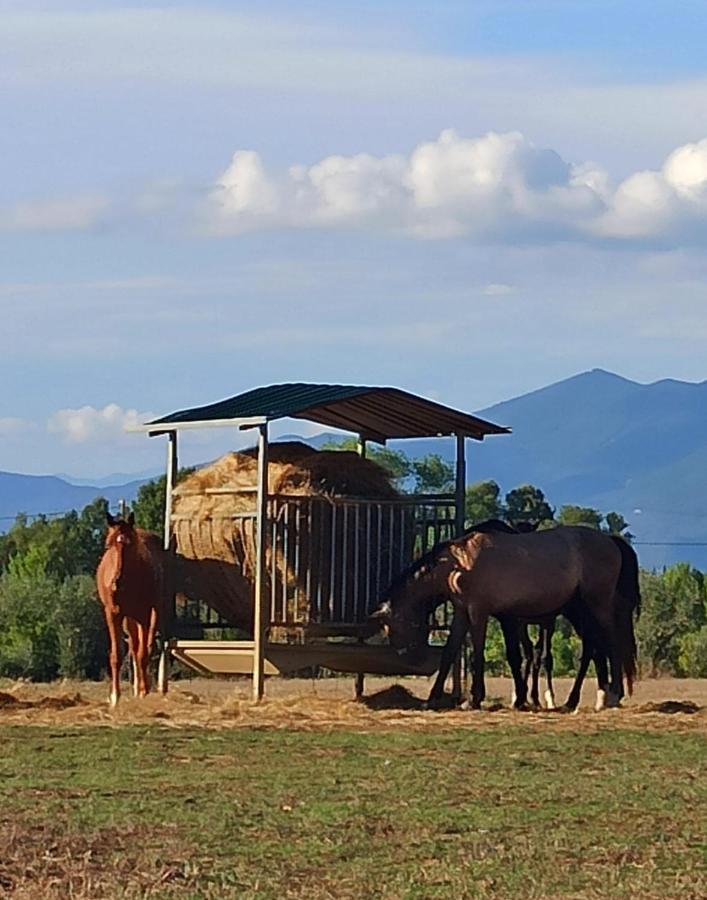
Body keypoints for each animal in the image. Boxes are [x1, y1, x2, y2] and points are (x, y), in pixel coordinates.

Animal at [96, 510, 165, 708]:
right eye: (108, 544)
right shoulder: (113, 614)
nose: (116, 583)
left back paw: (143, 688)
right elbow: (117, 655)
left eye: (130, 543)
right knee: (134, 647)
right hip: (129, 618)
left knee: (146, 647)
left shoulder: (144, 614)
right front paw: (114, 697)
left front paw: (144, 691)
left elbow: (143, 652)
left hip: (151, 613)